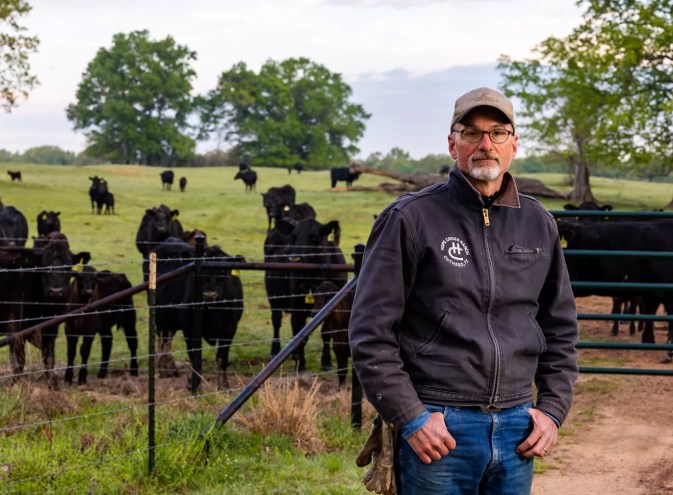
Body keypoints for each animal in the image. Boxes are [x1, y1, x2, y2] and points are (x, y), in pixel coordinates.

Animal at [153, 238, 244, 389]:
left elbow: (222, 357)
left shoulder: (230, 329)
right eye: (200, 272)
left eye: (223, 269)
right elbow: (195, 357)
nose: (209, 295)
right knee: (163, 342)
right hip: (161, 319)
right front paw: (194, 384)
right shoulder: (189, 329)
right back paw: (164, 370)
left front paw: (223, 385)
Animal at [264, 217, 347, 372]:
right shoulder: (297, 306)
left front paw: (326, 362)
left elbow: (326, 333)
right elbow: (300, 334)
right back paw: (276, 352)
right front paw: (300, 364)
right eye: (293, 237)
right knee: (277, 322)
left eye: (314, 238)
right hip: (274, 300)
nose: (294, 259)